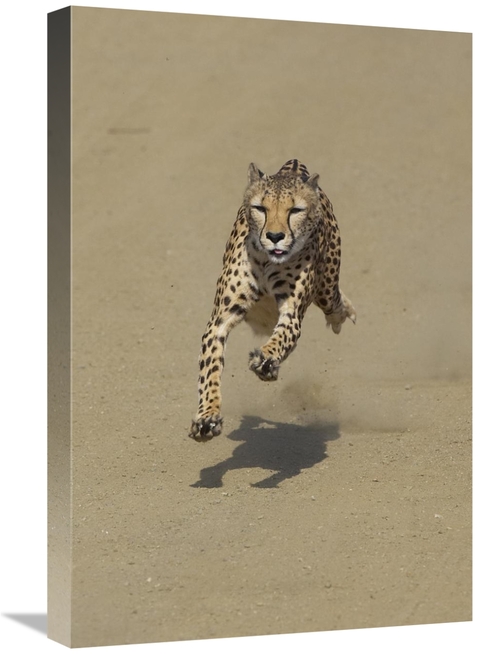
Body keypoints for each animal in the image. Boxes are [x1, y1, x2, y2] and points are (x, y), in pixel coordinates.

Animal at [189, 159, 356, 442]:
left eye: (295, 210)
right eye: (260, 208)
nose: (275, 237)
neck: (268, 260)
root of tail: (293, 164)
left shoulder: (292, 314)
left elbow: (282, 338)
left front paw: (265, 361)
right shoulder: (220, 321)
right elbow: (210, 369)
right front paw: (207, 417)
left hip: (326, 289)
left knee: (334, 302)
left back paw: (343, 313)